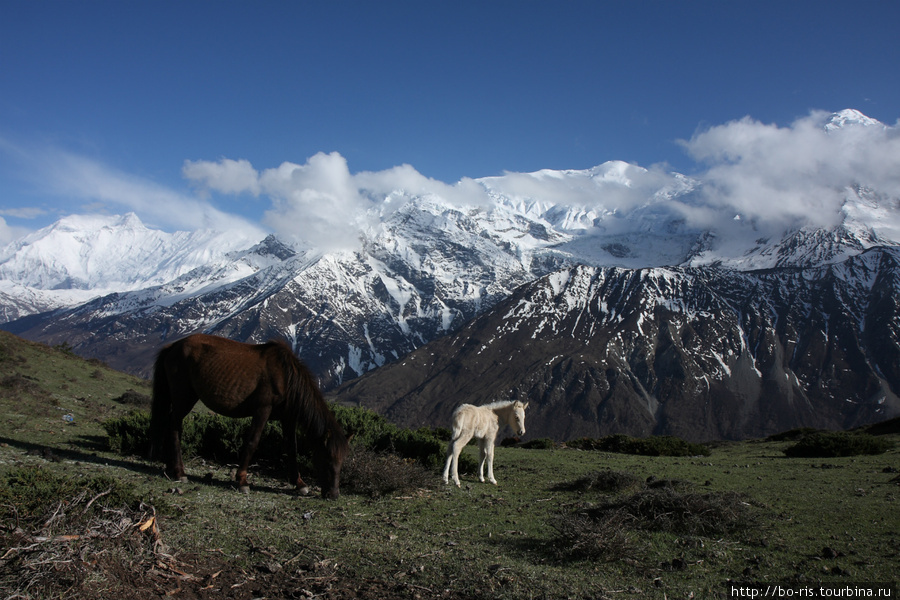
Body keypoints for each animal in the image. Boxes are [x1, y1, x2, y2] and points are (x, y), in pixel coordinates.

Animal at [148, 332, 348, 496]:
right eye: (327, 458)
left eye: (341, 461)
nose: (333, 494)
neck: (286, 376)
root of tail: (172, 346)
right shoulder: (263, 409)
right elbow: (252, 442)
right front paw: (242, 481)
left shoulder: (288, 418)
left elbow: (292, 448)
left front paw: (299, 484)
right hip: (184, 397)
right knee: (174, 426)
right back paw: (180, 472)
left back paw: (170, 467)